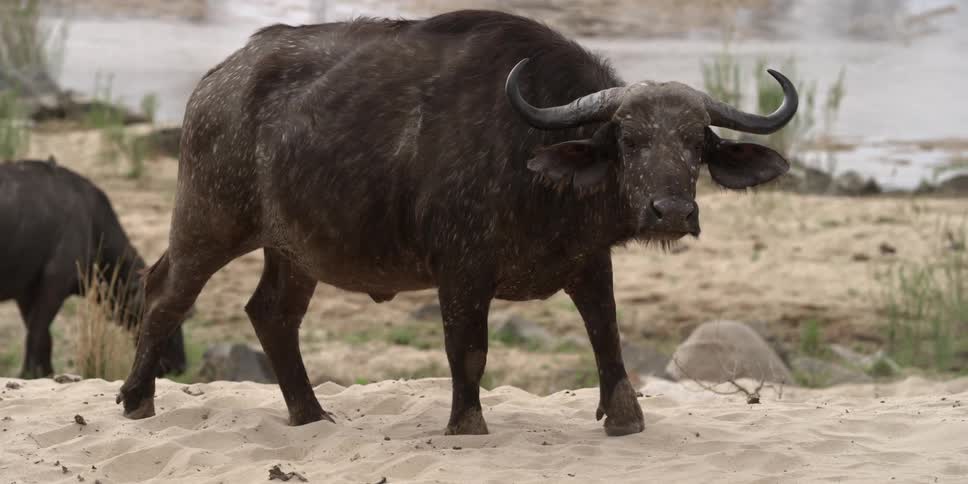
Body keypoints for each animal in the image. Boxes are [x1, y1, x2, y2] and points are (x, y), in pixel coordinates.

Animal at [0, 159, 186, 378]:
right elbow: (38, 334)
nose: (180, 366)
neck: (91, 223)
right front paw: (31, 373)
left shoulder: (26, 294)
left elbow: (39, 335)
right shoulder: (53, 286)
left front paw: (42, 372)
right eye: (169, 318)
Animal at [117, 10, 796, 436]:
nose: (672, 212)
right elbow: (468, 350)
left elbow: (607, 337)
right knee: (165, 292)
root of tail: (216, 83)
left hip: (296, 249)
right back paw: (136, 400)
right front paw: (467, 423)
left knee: (272, 314)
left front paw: (626, 419)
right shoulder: (462, 271)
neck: (532, 157)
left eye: (697, 142)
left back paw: (309, 413)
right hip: (209, 221)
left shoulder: (586, 261)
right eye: (628, 138)